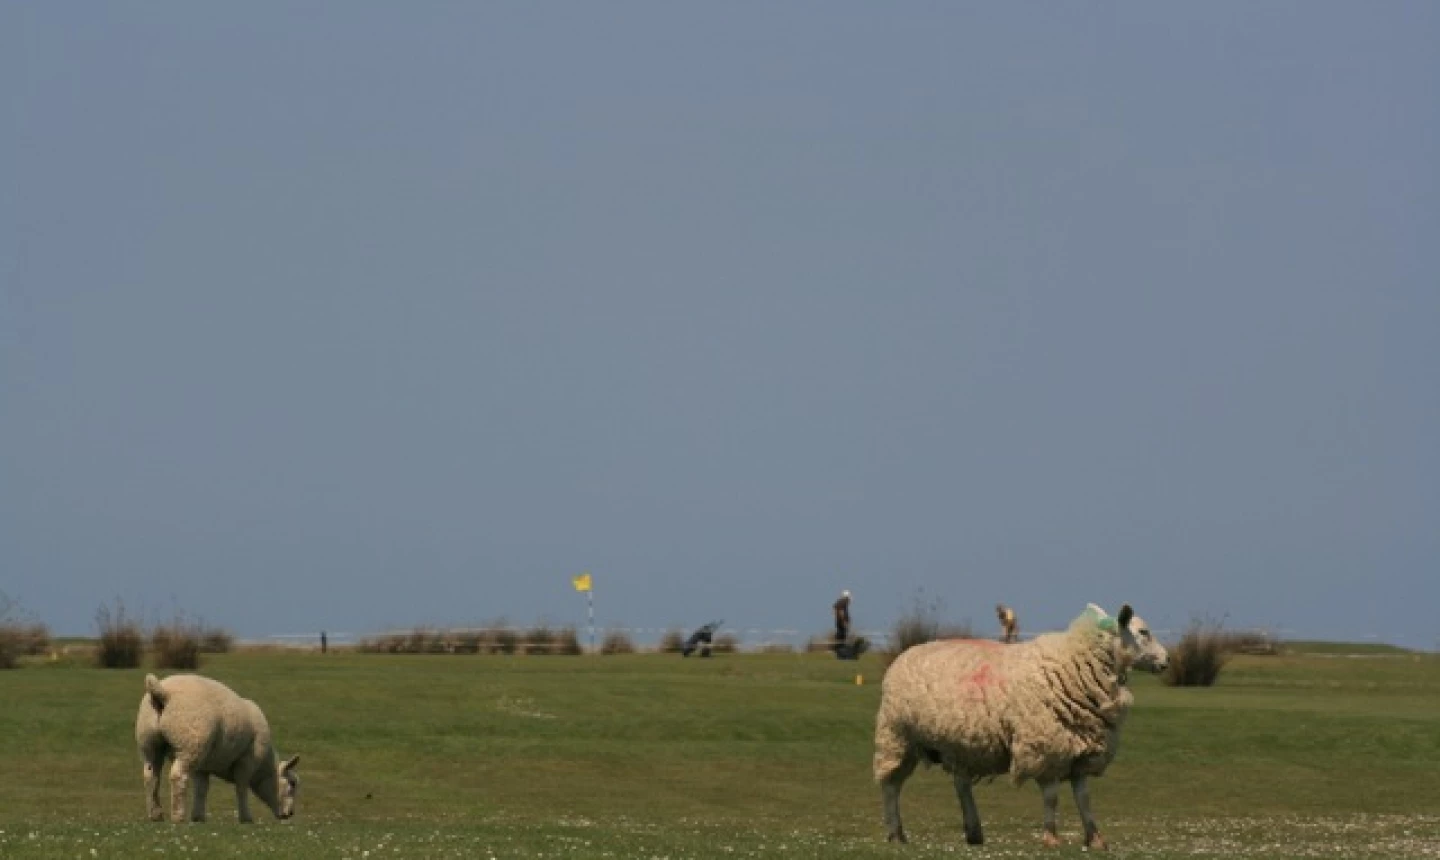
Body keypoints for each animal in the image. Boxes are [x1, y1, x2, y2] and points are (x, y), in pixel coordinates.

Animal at [135, 673, 300, 823]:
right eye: (292, 783)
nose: (290, 813)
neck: (263, 768)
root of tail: (162, 692)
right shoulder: (246, 761)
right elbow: (241, 788)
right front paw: (246, 818)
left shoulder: (202, 766)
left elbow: (201, 789)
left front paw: (198, 817)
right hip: (191, 743)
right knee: (178, 776)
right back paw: (178, 816)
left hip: (150, 744)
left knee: (150, 776)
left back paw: (156, 815)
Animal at [873, 603, 1168, 849]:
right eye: (1143, 632)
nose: (1166, 661)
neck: (1076, 665)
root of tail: (906, 653)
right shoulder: (1045, 747)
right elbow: (1051, 796)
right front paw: (1051, 838)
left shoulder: (1080, 751)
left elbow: (1084, 798)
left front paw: (1095, 839)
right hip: (898, 736)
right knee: (891, 785)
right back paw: (896, 833)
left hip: (960, 743)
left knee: (961, 786)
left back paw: (974, 832)